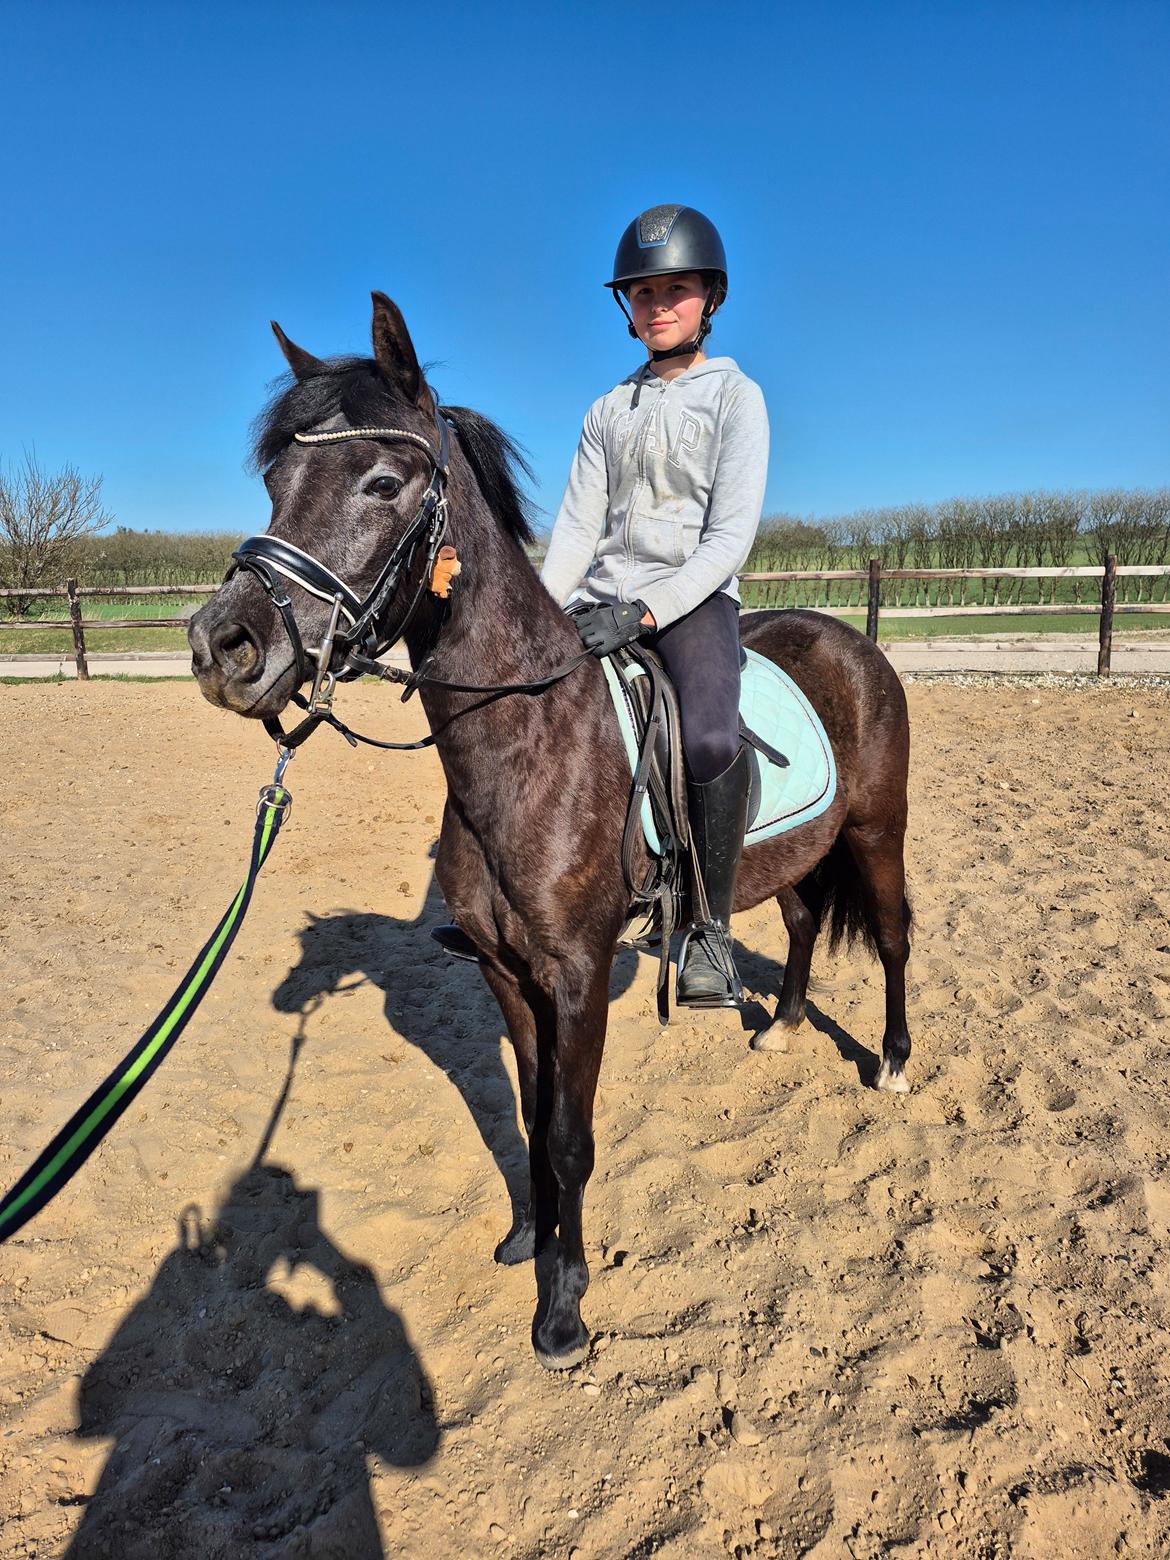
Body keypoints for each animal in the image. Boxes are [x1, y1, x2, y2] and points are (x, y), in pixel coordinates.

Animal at [189, 292, 913, 1370]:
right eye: (276, 480)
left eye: (383, 481)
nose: (223, 645)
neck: (529, 743)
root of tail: (848, 638)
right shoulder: (505, 971)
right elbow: (532, 1119)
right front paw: (528, 1238)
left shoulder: (575, 976)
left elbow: (571, 1135)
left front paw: (564, 1307)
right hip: (798, 856)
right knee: (799, 923)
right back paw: (782, 1029)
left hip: (875, 831)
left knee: (896, 937)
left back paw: (896, 1064)